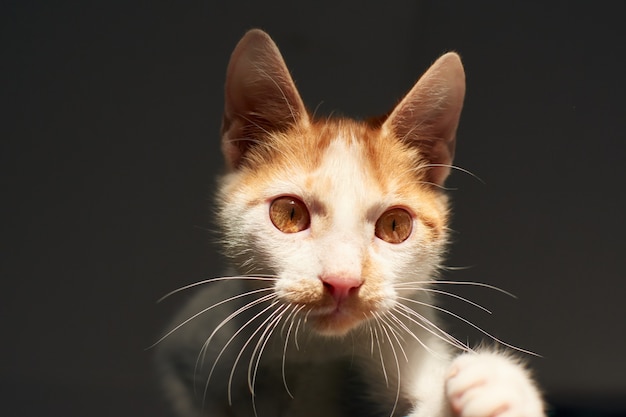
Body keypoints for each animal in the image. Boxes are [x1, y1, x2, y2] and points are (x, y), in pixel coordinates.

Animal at [155, 29, 540, 416]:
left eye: (395, 225)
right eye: (289, 214)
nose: (342, 282)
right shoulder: (189, 350)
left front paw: (499, 385)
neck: (320, 351)